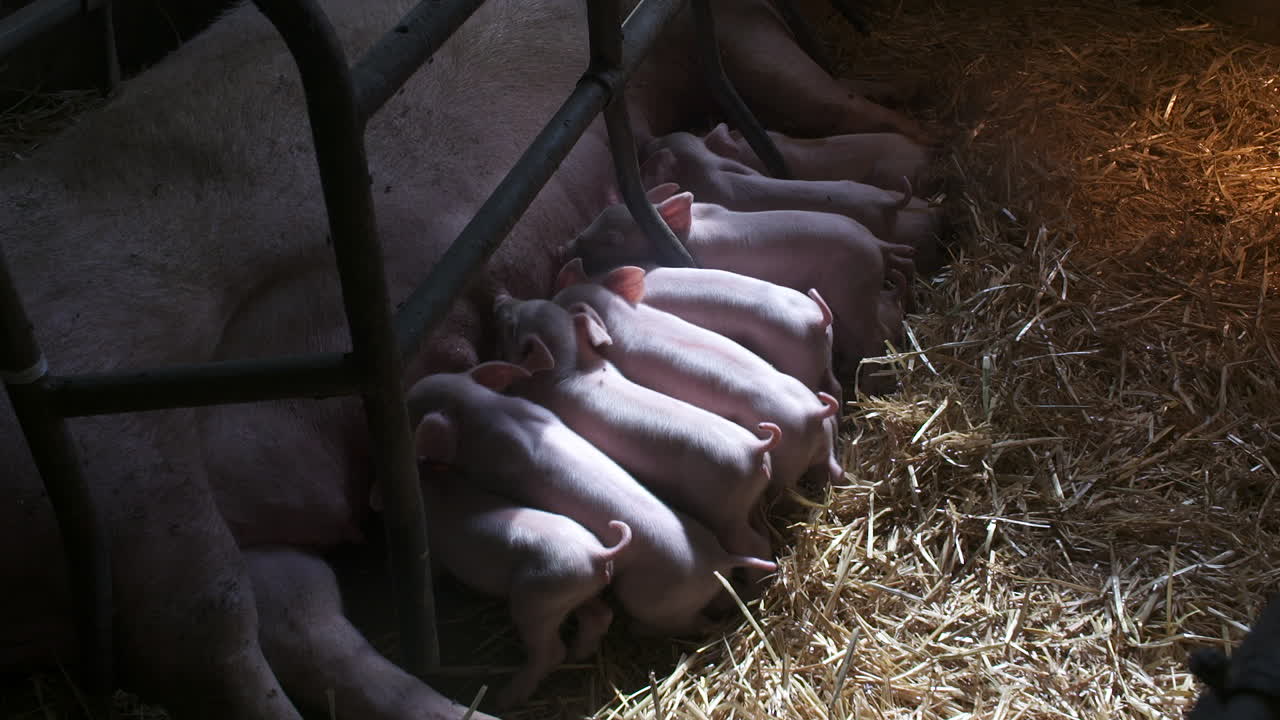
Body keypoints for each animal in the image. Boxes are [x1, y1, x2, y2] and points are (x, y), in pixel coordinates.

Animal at [406, 473, 631, 708]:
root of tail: (595, 552)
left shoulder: (434, 552)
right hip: (579, 590)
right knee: (600, 615)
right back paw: (578, 654)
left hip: (537, 601)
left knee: (550, 652)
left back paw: (506, 698)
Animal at [489, 298, 780, 569]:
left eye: (512, 326)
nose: (500, 301)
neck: (569, 368)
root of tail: (755, 448)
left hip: (725, 511)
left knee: (751, 544)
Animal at [567, 188, 915, 375]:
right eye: (600, 215)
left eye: (613, 238)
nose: (571, 243)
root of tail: (876, 244)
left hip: (850, 290)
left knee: (874, 335)